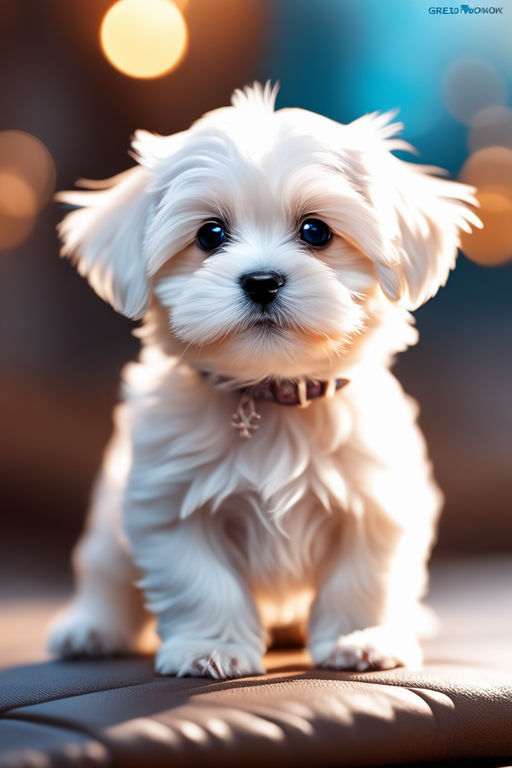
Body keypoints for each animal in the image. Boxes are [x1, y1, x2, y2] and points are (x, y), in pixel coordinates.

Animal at [48, 81, 480, 676]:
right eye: (210, 234)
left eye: (316, 230)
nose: (261, 280)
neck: (273, 394)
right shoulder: (168, 506)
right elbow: (201, 580)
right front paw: (211, 647)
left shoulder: (377, 501)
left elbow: (362, 578)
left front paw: (362, 638)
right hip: (108, 528)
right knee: (105, 577)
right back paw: (90, 628)